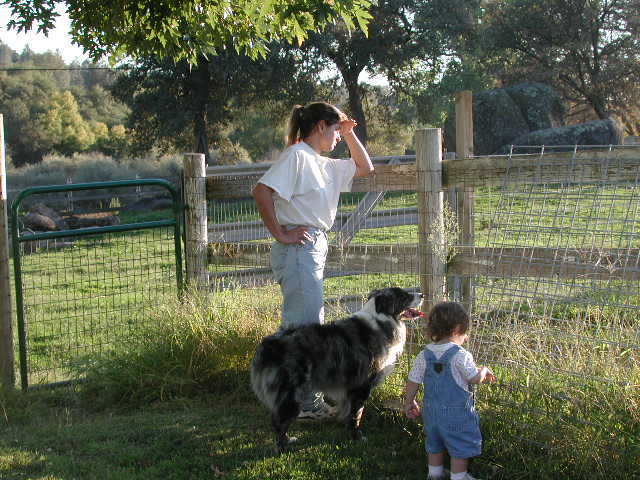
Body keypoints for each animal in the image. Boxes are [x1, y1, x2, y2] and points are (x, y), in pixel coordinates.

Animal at [251, 286, 424, 452]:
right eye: (404, 296)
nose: (422, 295)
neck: (381, 319)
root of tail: (268, 346)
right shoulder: (361, 387)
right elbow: (356, 415)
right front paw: (357, 438)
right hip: (292, 393)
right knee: (279, 421)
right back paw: (282, 447)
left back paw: (288, 440)